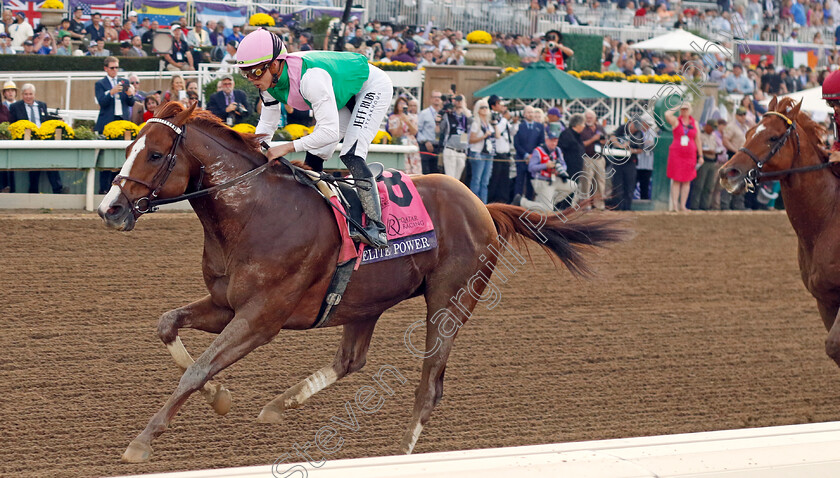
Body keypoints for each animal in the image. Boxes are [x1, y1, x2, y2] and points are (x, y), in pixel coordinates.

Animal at [98, 102, 632, 464]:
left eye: (155, 154)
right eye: (127, 147)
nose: (111, 209)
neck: (254, 213)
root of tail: (482, 204)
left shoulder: (261, 318)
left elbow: (197, 368)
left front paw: (141, 442)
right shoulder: (225, 304)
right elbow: (169, 326)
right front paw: (221, 397)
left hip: (450, 301)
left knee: (430, 383)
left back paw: (402, 451)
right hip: (364, 302)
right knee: (351, 360)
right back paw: (279, 406)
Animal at [720, 98, 840, 366]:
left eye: (773, 138)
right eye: (748, 132)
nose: (727, 173)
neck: (828, 218)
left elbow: (835, 346)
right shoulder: (825, 299)